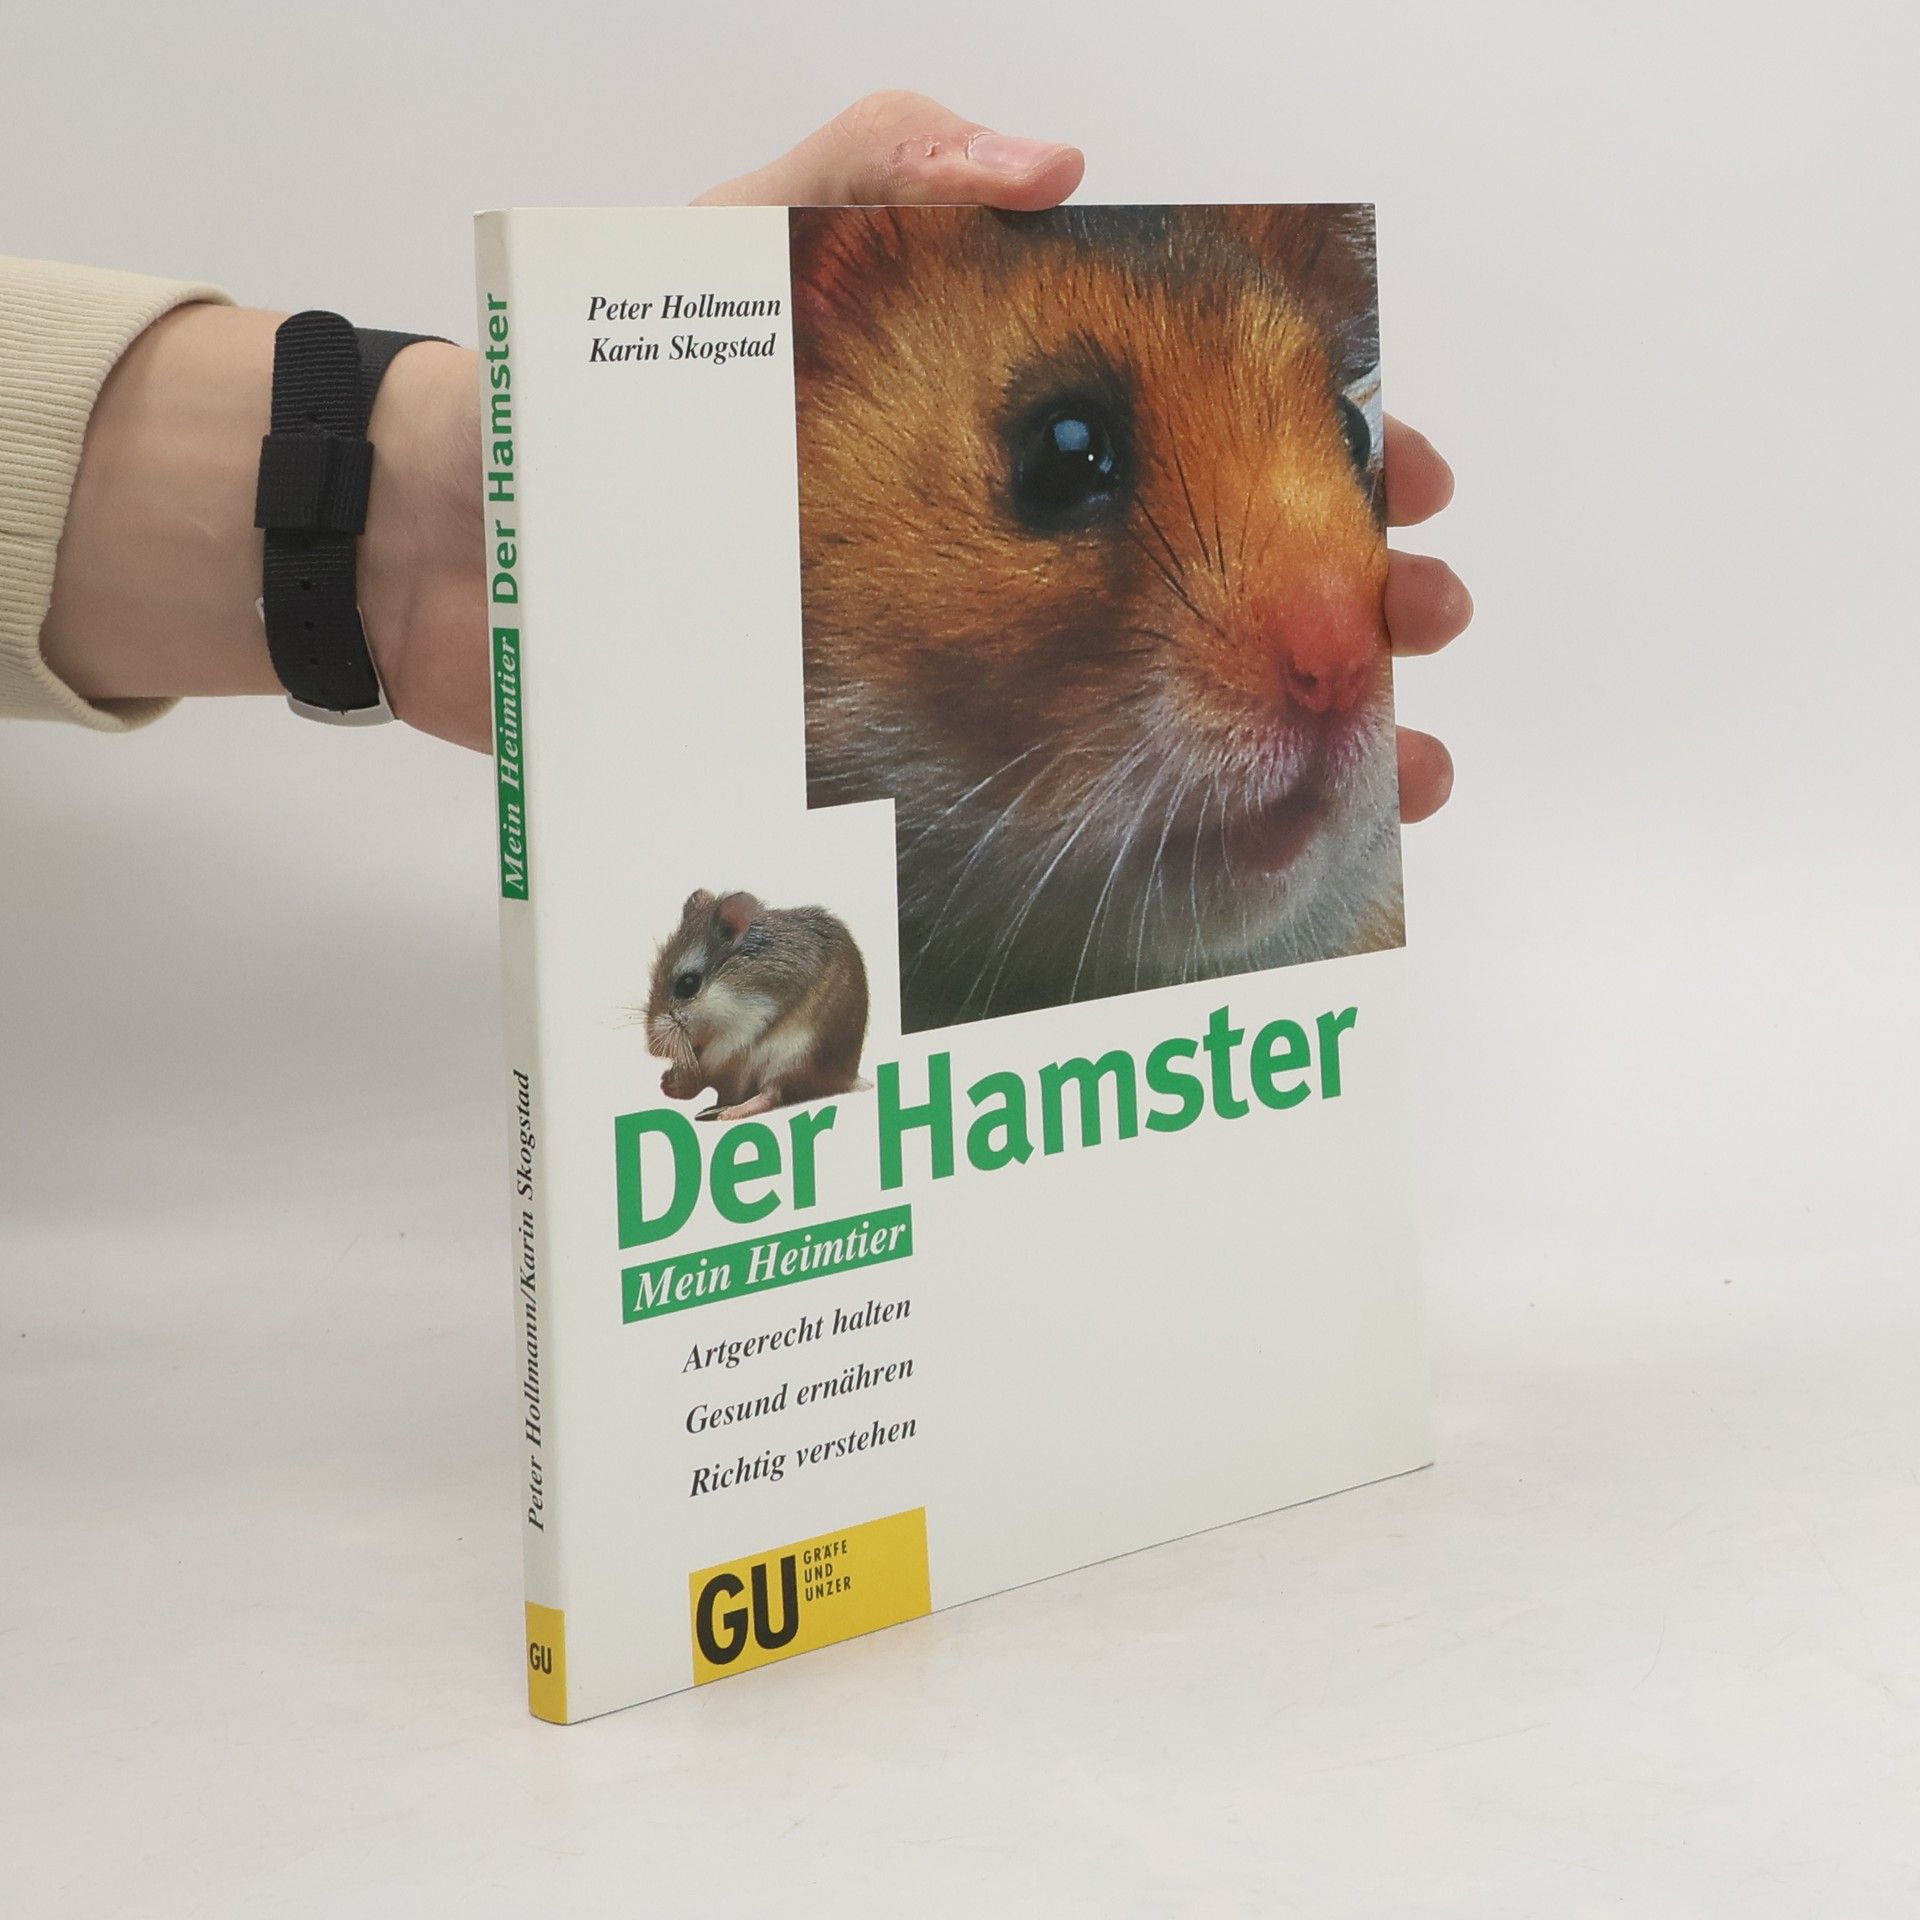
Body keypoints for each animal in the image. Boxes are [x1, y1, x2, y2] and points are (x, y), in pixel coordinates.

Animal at [646, 889, 869, 1120]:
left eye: (688, 984)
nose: (653, 1050)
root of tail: (847, 1080)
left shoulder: (746, 1024)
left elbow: (713, 1059)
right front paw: (669, 1082)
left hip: (793, 1056)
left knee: (771, 1094)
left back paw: (728, 1113)